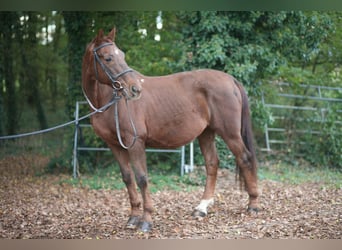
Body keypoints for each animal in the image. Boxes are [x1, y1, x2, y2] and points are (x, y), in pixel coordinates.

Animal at [83, 27, 260, 232]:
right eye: (108, 58)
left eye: (122, 55)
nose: (135, 89)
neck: (110, 101)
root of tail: (230, 79)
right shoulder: (115, 145)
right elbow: (128, 178)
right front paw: (133, 218)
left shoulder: (136, 143)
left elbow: (142, 178)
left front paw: (146, 220)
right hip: (206, 133)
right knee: (212, 163)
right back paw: (201, 208)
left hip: (229, 133)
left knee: (245, 158)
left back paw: (253, 205)